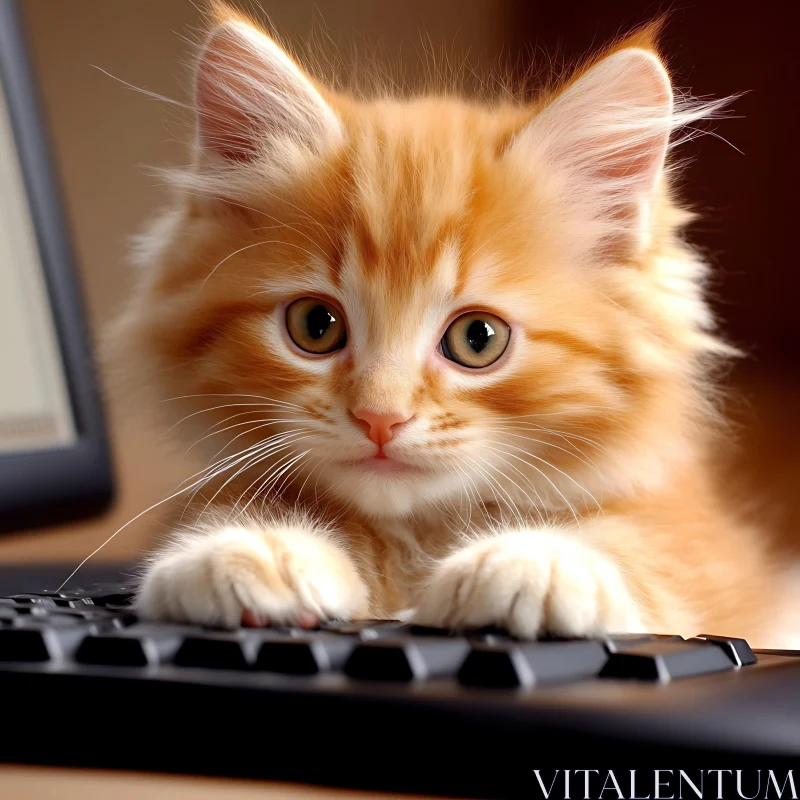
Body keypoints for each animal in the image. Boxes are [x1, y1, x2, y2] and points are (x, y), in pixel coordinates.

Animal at [106, 6, 780, 644]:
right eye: (316, 326)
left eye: (477, 339)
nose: (380, 418)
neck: (416, 537)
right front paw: (252, 544)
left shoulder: (703, 550)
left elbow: (646, 560)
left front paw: (532, 561)